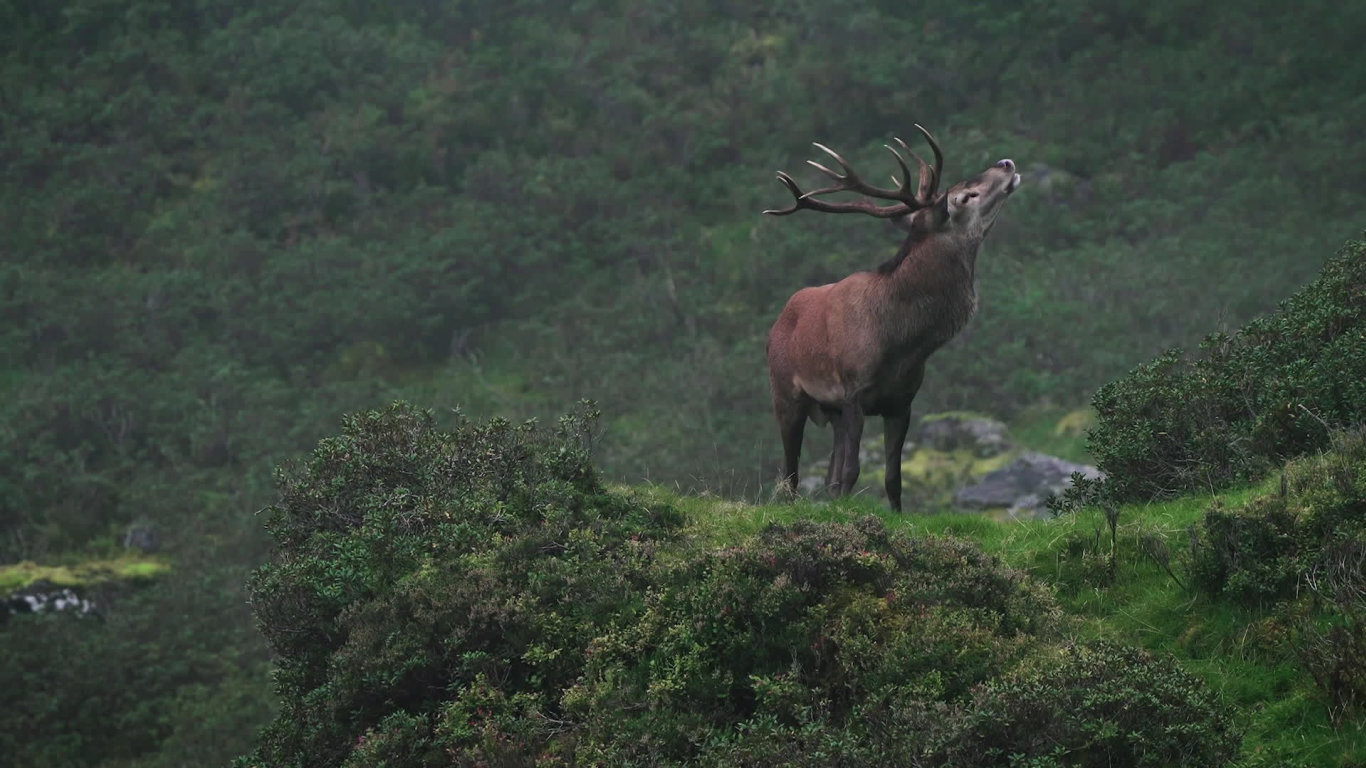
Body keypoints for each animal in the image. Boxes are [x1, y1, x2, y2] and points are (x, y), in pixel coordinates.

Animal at [764, 124, 1021, 508]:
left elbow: (891, 478)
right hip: (785, 393)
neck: (903, 343)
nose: (1006, 162)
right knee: (790, 472)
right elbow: (853, 471)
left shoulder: (902, 401)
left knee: (827, 476)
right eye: (965, 196)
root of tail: (775, 325)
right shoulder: (855, 393)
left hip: (832, 410)